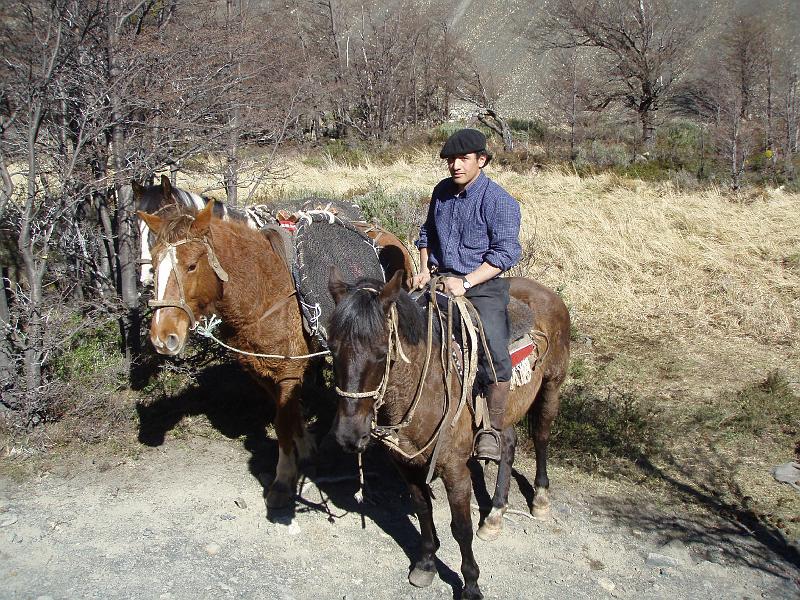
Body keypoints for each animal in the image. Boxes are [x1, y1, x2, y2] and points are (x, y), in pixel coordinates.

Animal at [138, 200, 316, 506]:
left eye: (192, 266)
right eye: (155, 264)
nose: (163, 337)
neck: (266, 291)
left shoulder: (288, 372)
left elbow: (282, 422)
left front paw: (283, 481)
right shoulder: (262, 374)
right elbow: (289, 415)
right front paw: (303, 449)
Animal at [324, 270, 568, 596]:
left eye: (381, 353)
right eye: (332, 348)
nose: (349, 435)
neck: (426, 386)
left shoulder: (455, 470)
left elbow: (461, 528)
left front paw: (471, 585)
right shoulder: (407, 466)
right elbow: (423, 510)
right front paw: (426, 563)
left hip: (551, 386)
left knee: (541, 436)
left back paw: (540, 499)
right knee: (507, 444)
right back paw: (495, 513)